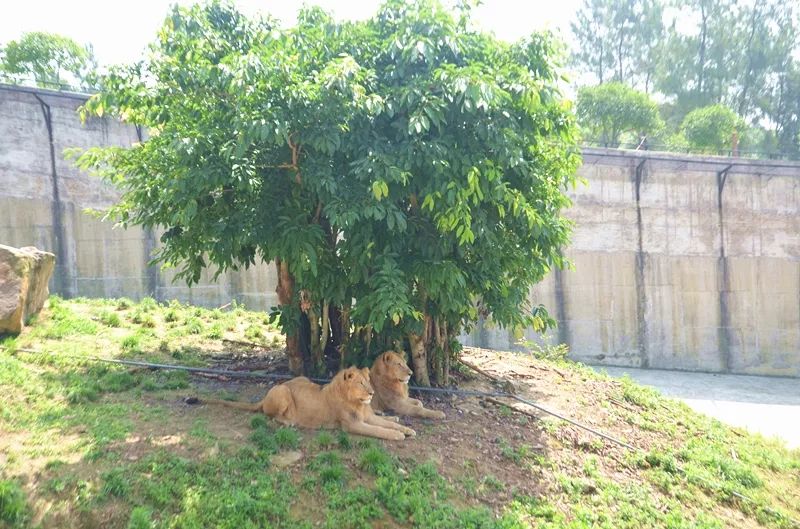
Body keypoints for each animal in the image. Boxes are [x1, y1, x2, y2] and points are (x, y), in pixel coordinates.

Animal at [203, 366, 416, 440]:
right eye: (360, 383)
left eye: (368, 381)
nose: (371, 392)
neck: (358, 402)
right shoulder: (352, 425)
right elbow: (380, 430)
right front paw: (398, 435)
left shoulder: (367, 417)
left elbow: (387, 423)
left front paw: (407, 429)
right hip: (282, 392)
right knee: (269, 415)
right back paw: (289, 422)